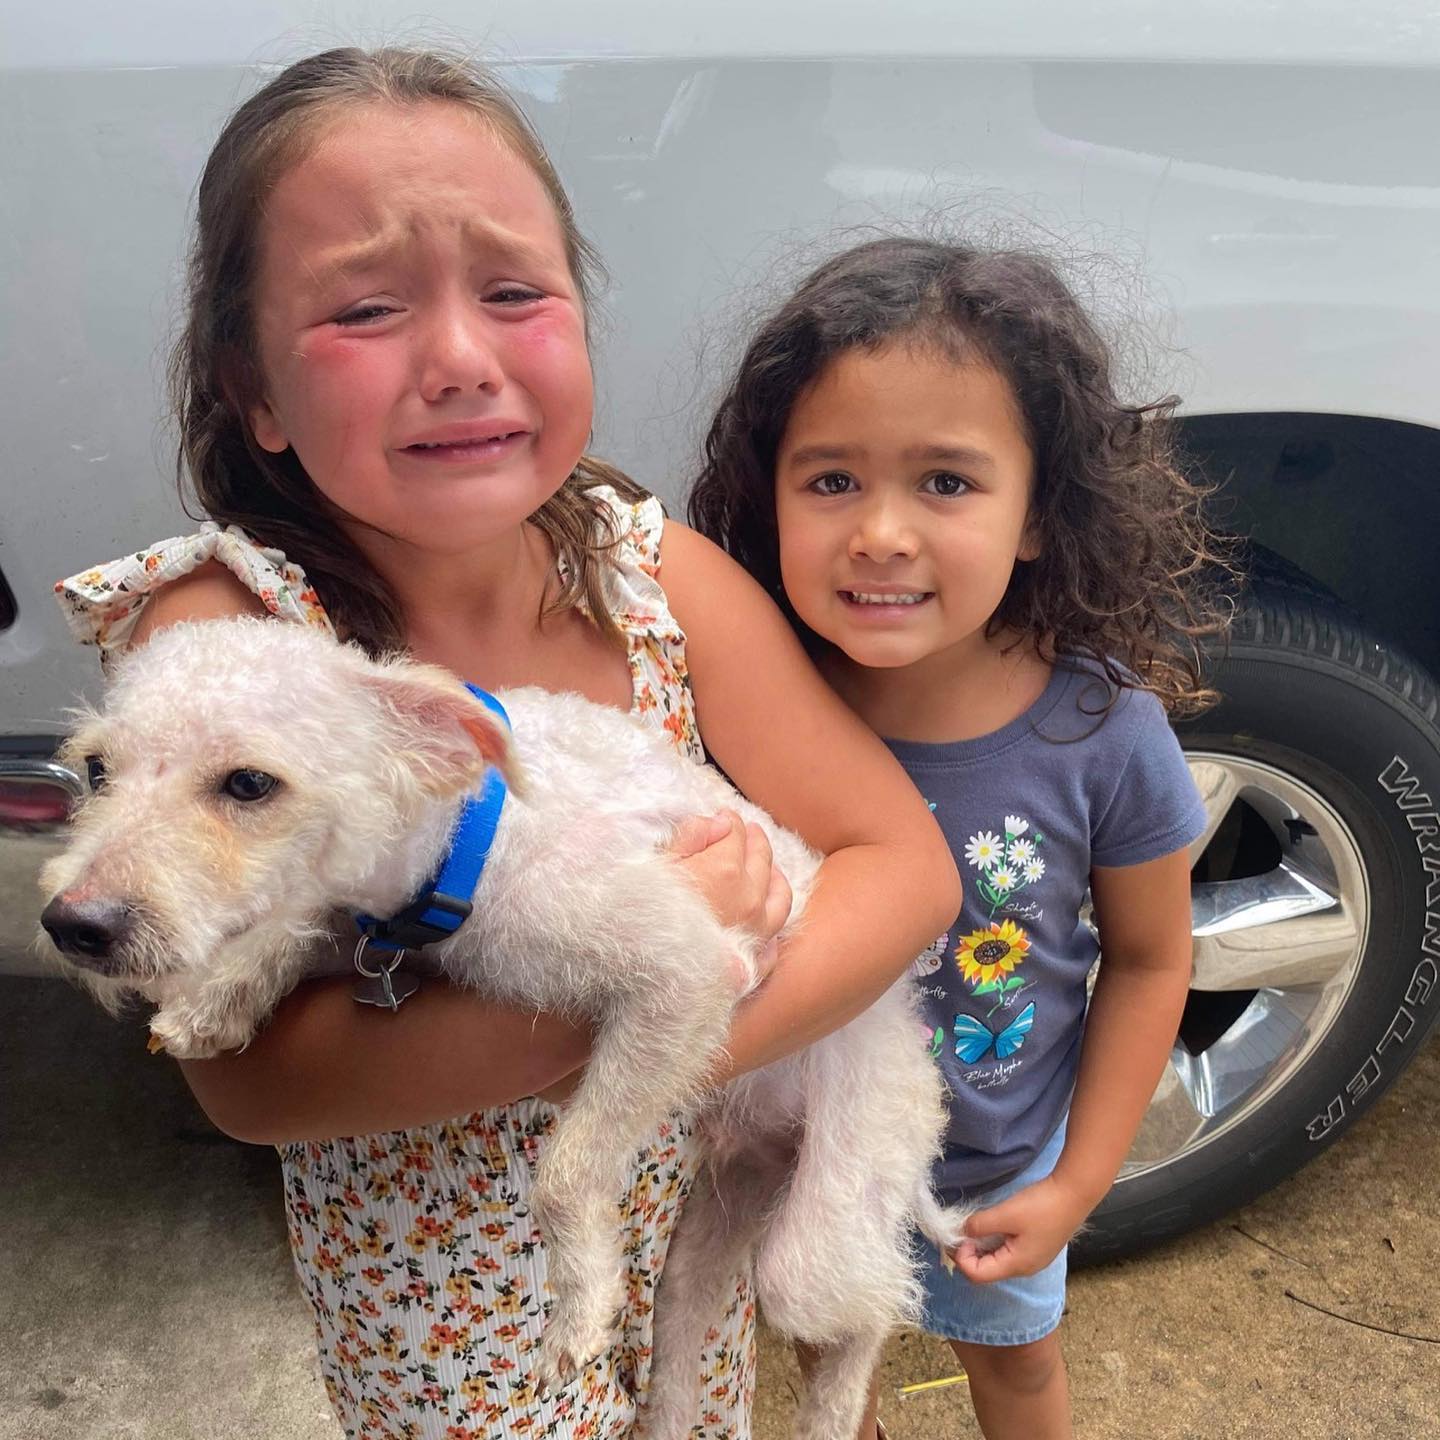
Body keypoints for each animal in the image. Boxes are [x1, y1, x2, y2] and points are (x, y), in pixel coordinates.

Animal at [42, 619, 967, 1440]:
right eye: (96, 768)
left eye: (248, 784)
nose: (72, 925)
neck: (473, 838)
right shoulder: (364, 916)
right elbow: (299, 922)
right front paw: (216, 1000)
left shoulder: (687, 972)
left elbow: (565, 1171)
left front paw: (578, 1314)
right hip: (720, 1222)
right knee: (688, 1341)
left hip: (820, 1228)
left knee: (877, 1308)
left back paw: (833, 1414)